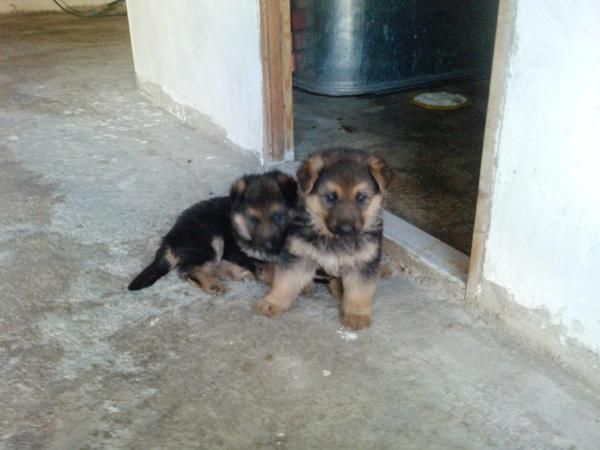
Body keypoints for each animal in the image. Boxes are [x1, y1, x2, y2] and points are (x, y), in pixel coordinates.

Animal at [128, 171, 298, 294]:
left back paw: (238, 273)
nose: (271, 246)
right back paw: (212, 284)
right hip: (209, 240)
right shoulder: (246, 255)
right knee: (188, 270)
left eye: (278, 216)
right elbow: (269, 269)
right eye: (253, 220)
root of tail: (170, 238)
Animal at [255, 149, 392, 328]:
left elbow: (360, 291)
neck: (334, 239)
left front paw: (357, 315)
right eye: (330, 197)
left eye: (361, 198)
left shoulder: (362, 264)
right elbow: (285, 281)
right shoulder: (298, 256)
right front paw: (273, 302)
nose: (346, 229)